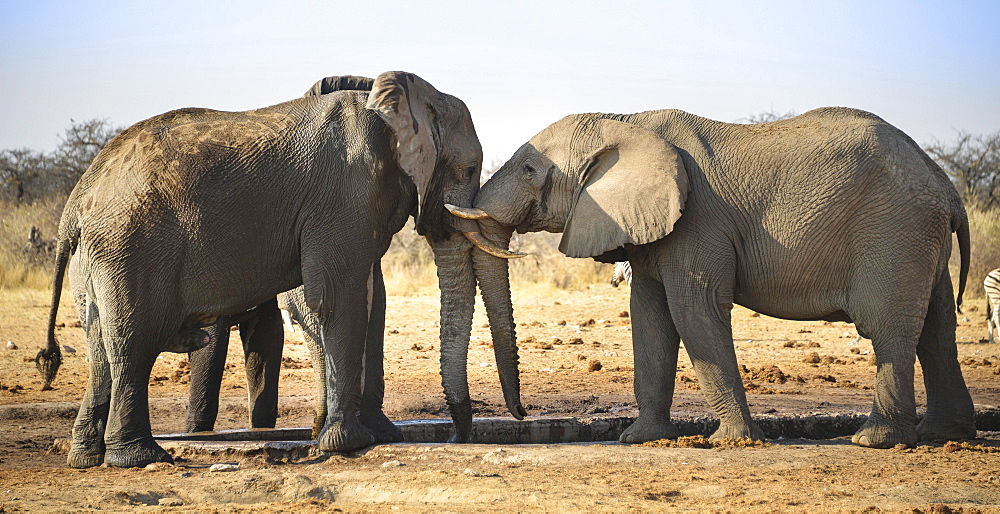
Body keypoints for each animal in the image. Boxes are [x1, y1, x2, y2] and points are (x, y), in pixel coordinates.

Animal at [36, 70, 528, 466]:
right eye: (469, 168)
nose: (461, 435)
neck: (406, 98)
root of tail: (77, 199)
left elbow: (373, 301)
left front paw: (380, 437)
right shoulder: (345, 194)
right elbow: (339, 296)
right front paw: (348, 445)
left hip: (96, 258)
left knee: (101, 347)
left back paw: (86, 459)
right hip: (130, 246)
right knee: (133, 341)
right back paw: (141, 458)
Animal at [458, 106, 980, 446]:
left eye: (530, 169)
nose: (522, 415)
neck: (624, 120)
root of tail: (947, 186)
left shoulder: (697, 221)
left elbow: (694, 310)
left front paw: (733, 441)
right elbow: (649, 318)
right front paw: (639, 439)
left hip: (894, 230)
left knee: (887, 327)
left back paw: (873, 441)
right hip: (919, 236)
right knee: (937, 331)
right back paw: (943, 435)